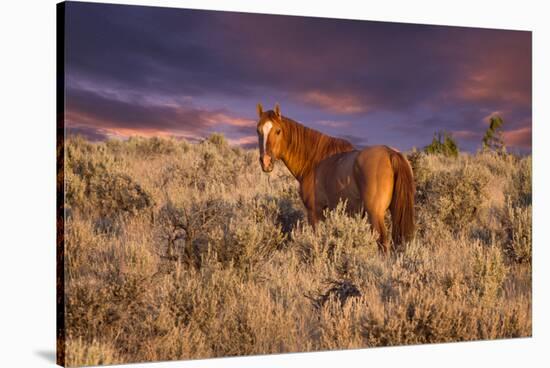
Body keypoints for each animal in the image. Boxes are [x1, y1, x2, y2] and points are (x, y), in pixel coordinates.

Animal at [256, 103, 416, 253]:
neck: (313, 162)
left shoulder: (315, 212)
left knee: (382, 243)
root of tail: (390, 153)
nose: (266, 162)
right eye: (258, 131)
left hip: (375, 214)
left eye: (278, 131)